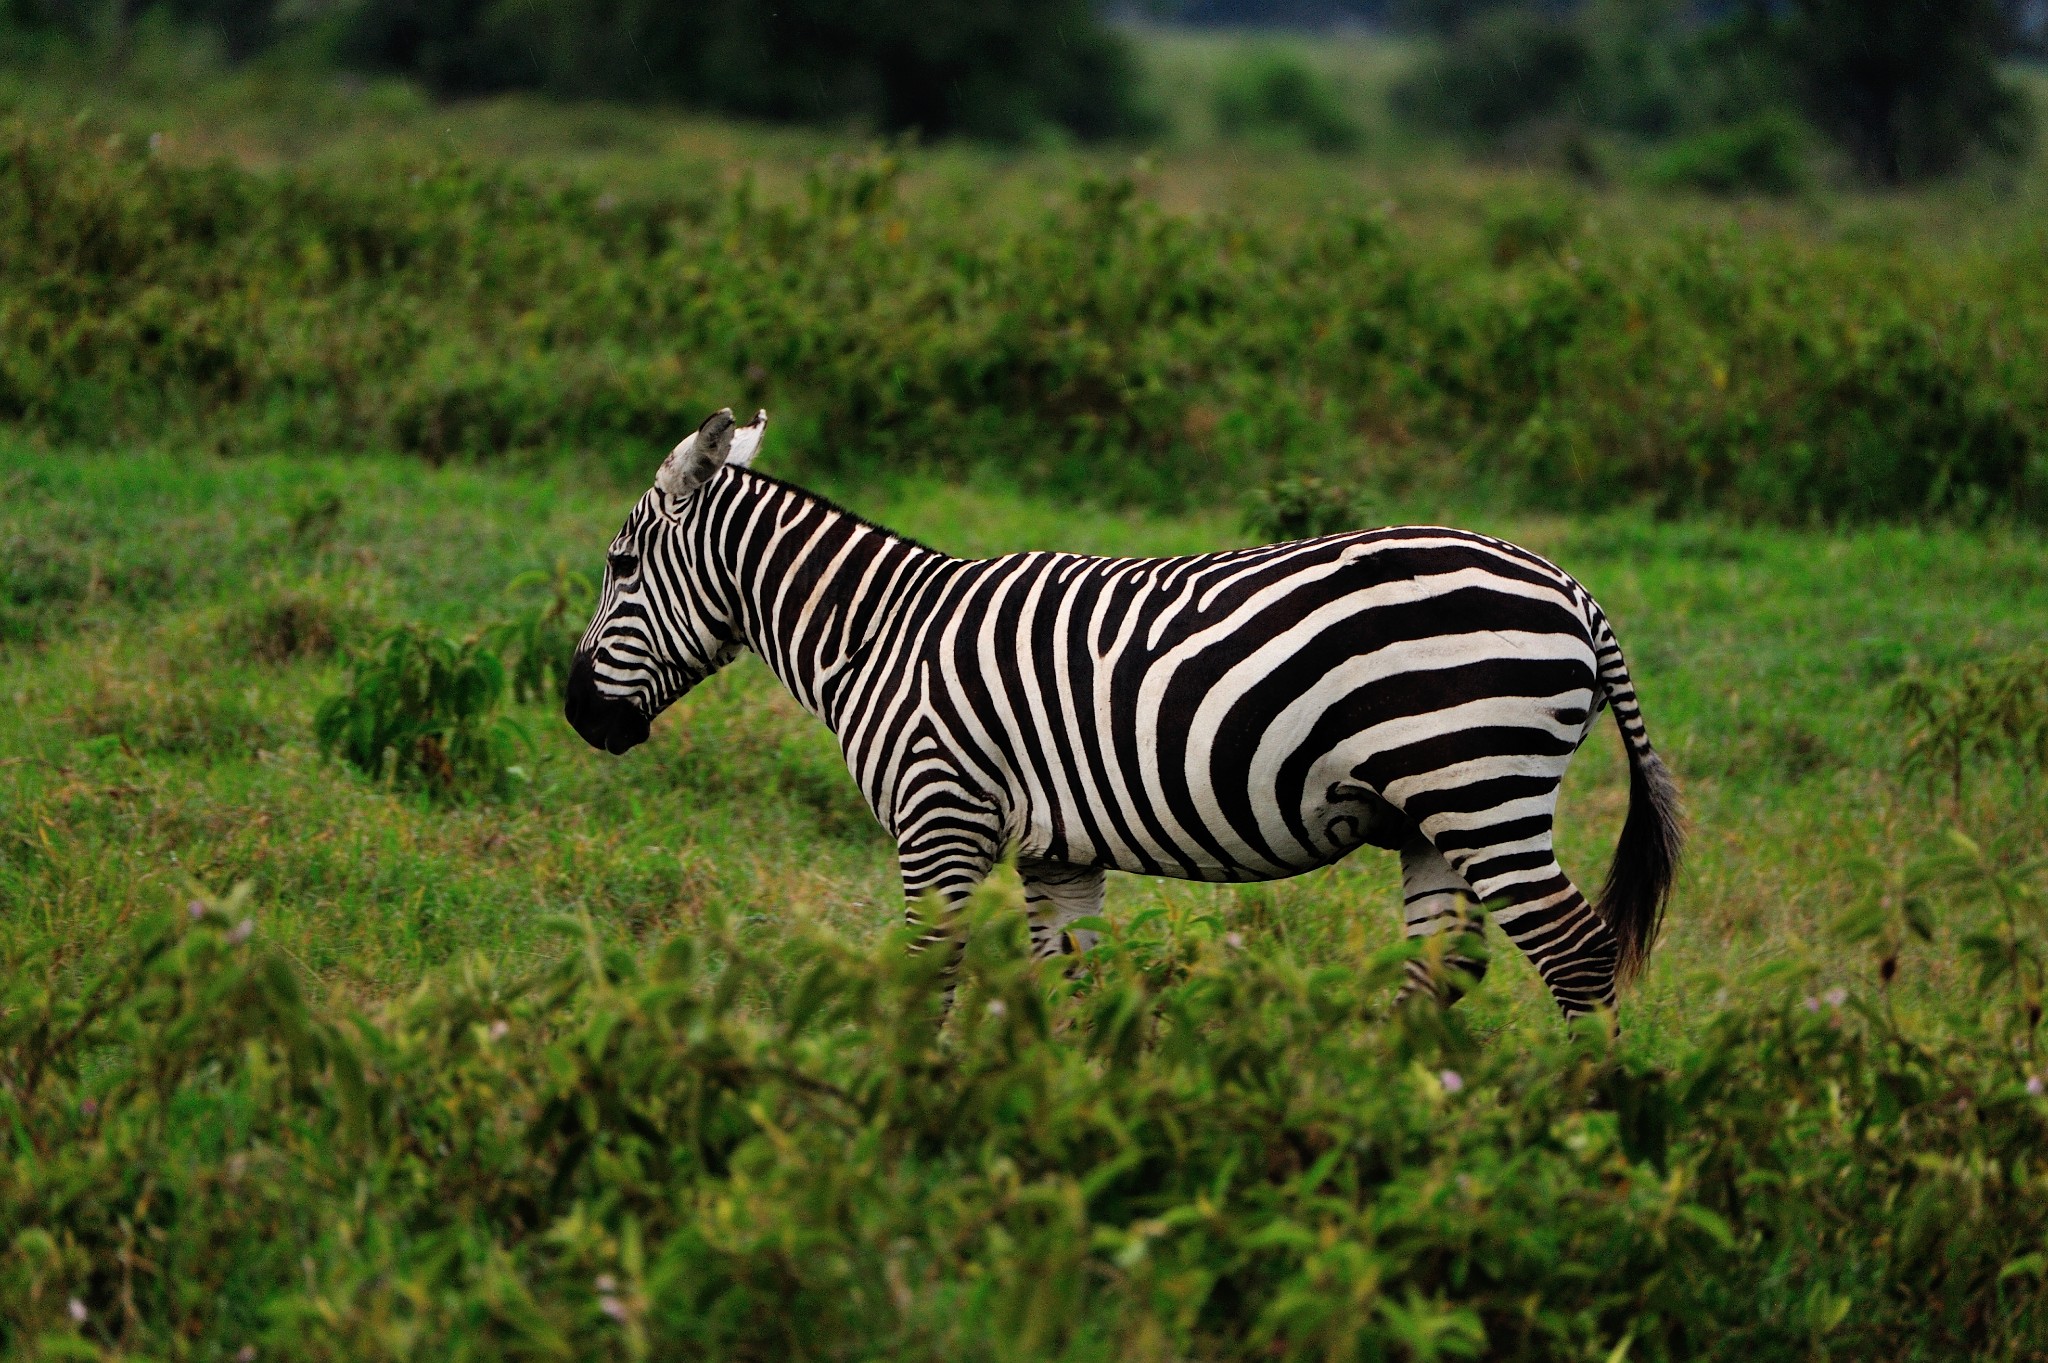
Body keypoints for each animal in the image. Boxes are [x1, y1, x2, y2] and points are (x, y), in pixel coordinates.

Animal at [565, 409, 1679, 1023]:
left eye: (618, 566)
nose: (576, 714)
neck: (877, 632)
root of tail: (1573, 589)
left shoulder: (939, 817)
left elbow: (927, 977)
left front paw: (903, 1119)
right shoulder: (1054, 851)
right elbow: (1071, 987)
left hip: (1479, 783)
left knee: (1575, 957)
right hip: (1432, 817)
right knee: (1441, 970)